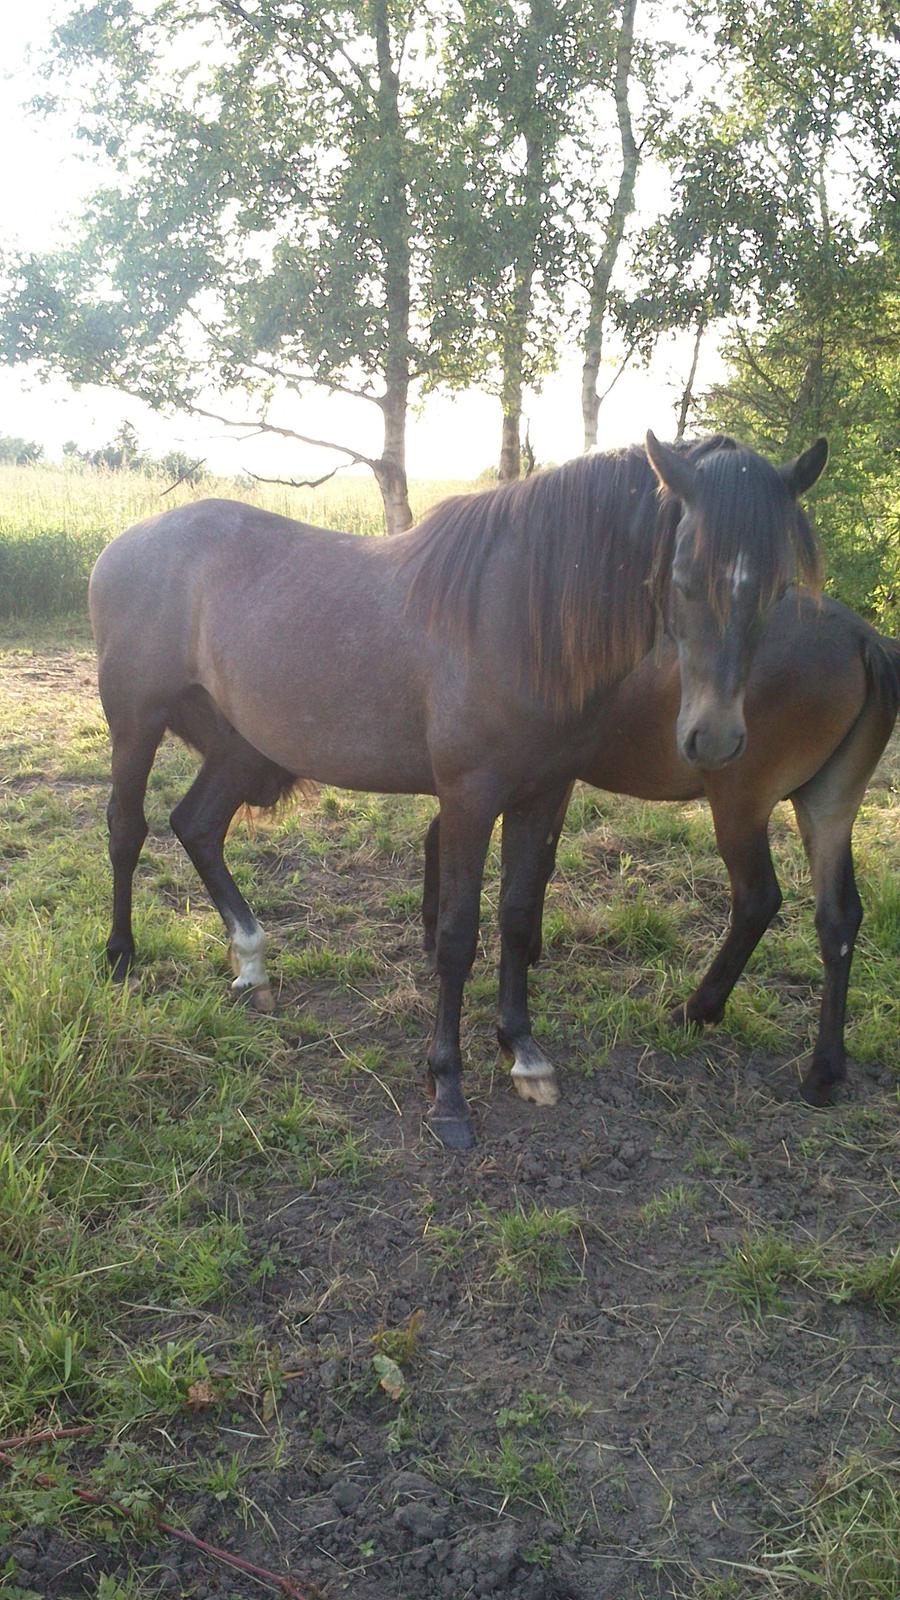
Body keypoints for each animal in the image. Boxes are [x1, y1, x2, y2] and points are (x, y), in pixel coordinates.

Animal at [87, 432, 826, 1145]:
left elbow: (519, 916)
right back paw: (121, 957)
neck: (520, 615)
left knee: (197, 826)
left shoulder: (542, 794)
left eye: (779, 587)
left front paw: (523, 1052)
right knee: (128, 829)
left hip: (240, 746)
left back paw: (251, 961)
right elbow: (457, 934)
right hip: (137, 720)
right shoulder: (470, 798)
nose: (716, 739)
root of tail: (124, 543)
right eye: (684, 578)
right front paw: (447, 1087)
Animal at [422, 595, 896, 1107]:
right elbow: (533, 864)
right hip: (829, 805)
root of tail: (863, 638)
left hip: (741, 803)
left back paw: (697, 1010)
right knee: (838, 918)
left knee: (758, 899)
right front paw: (526, 946)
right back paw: (823, 1069)